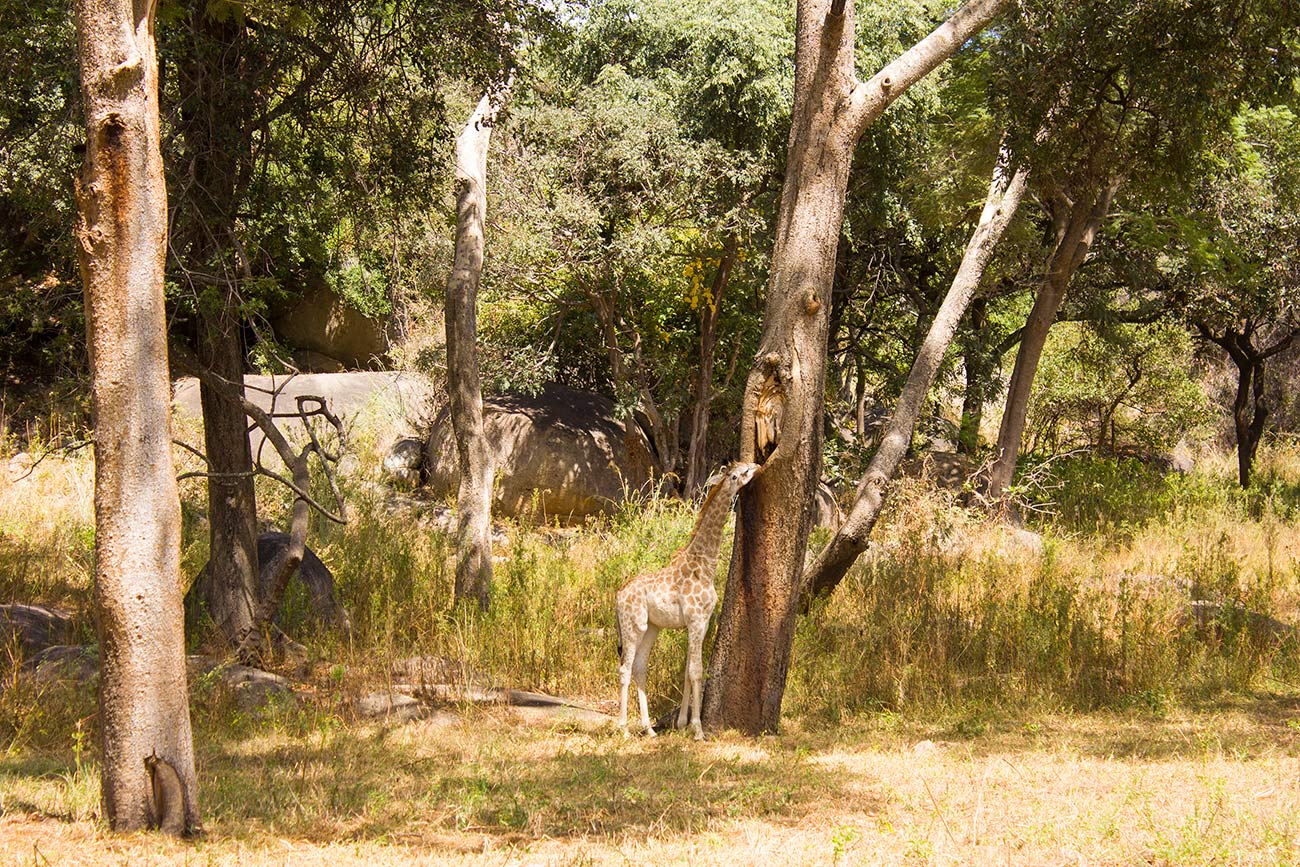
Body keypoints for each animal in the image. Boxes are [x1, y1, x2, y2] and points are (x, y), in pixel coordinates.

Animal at [616, 460, 759, 738]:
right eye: (739, 473)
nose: (757, 465)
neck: (705, 564)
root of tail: (618, 595)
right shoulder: (695, 620)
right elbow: (696, 671)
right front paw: (698, 729)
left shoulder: (703, 622)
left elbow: (688, 670)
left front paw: (683, 723)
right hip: (633, 626)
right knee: (625, 669)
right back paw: (624, 729)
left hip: (652, 628)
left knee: (639, 667)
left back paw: (649, 729)